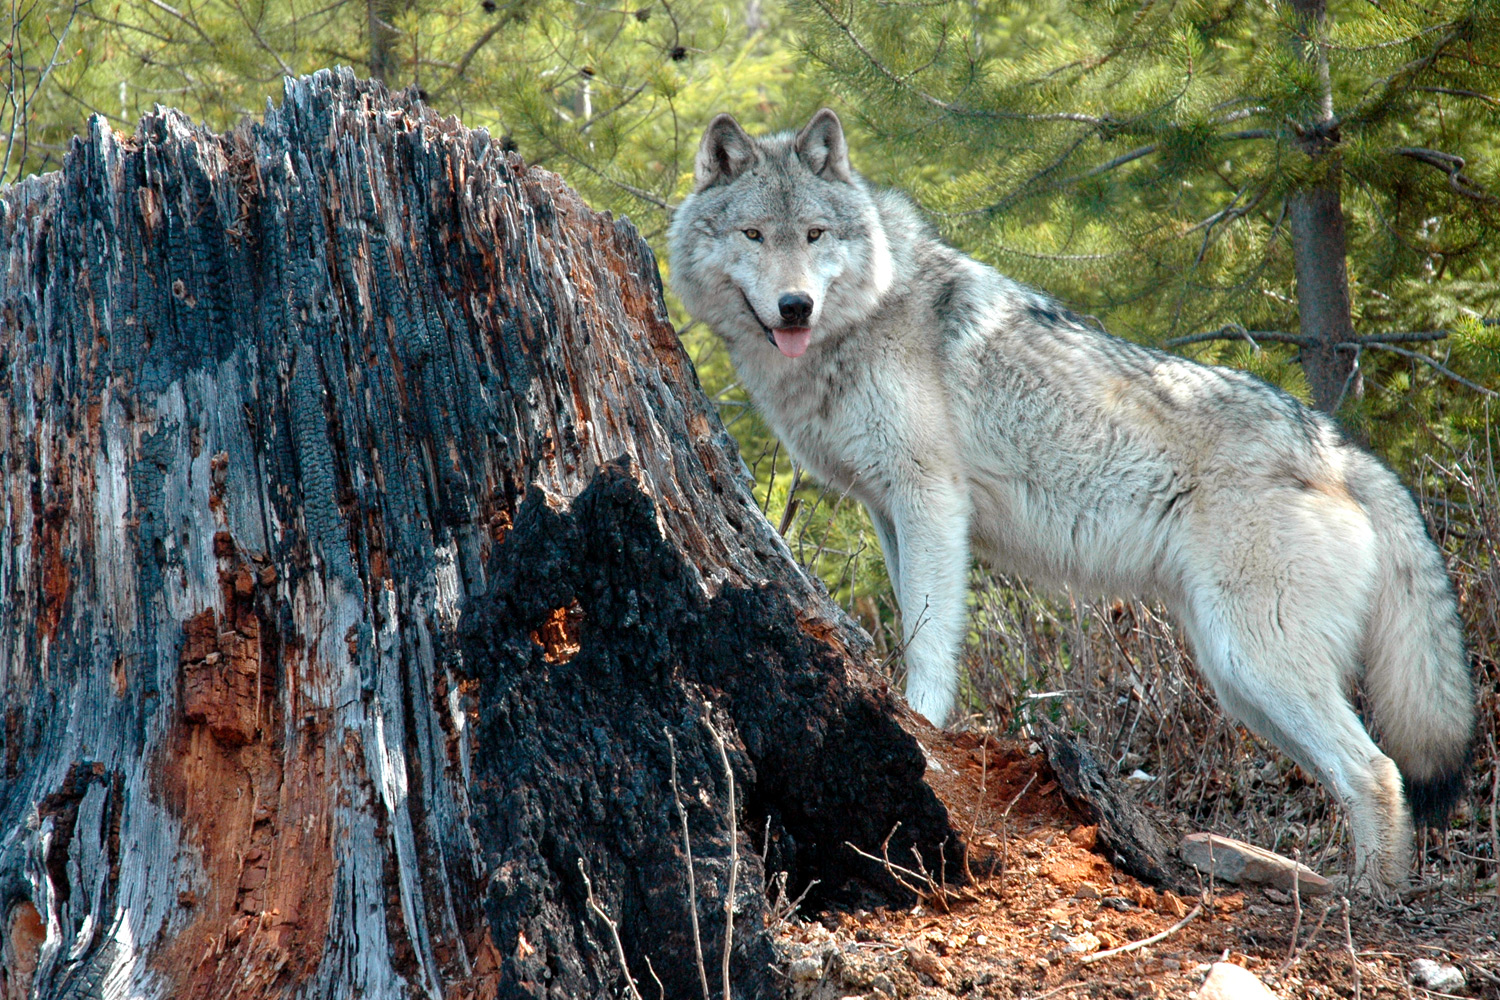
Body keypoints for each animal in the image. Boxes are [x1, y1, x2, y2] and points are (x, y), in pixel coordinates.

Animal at [669, 109, 1476, 893]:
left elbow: (928, 640)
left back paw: (1369, 898)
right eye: (753, 235)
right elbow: (911, 616)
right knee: (1359, 767)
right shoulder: (888, 511)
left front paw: (921, 724)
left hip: (1256, 660)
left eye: (814, 235)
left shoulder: (931, 497)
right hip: (1237, 675)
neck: (865, 316)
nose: (795, 306)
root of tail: (1340, 449)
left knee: (1377, 770)